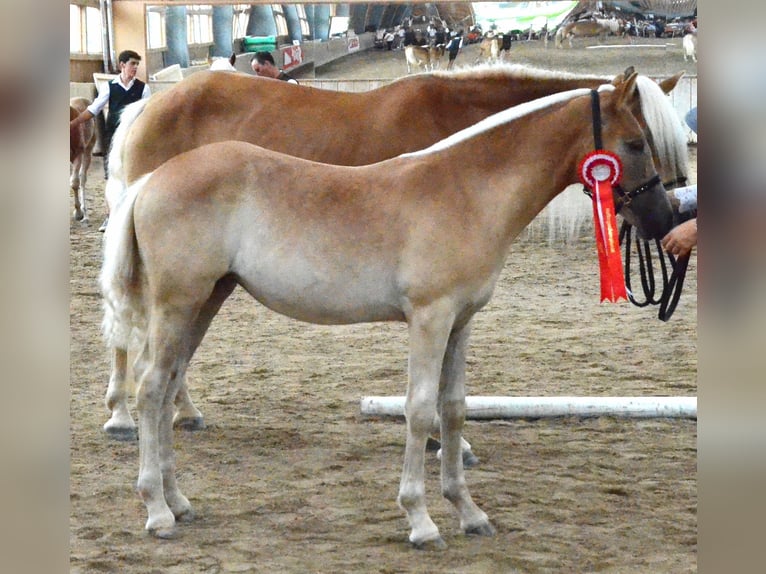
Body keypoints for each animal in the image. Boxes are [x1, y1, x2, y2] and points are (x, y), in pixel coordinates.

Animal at [102, 74, 680, 548]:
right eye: (635, 143)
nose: (663, 220)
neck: (466, 188)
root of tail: (152, 181)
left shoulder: (461, 322)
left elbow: (454, 408)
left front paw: (469, 513)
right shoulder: (430, 317)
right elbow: (419, 409)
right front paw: (420, 521)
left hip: (205, 301)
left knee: (168, 387)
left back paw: (179, 501)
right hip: (178, 303)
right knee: (150, 389)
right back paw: (156, 510)